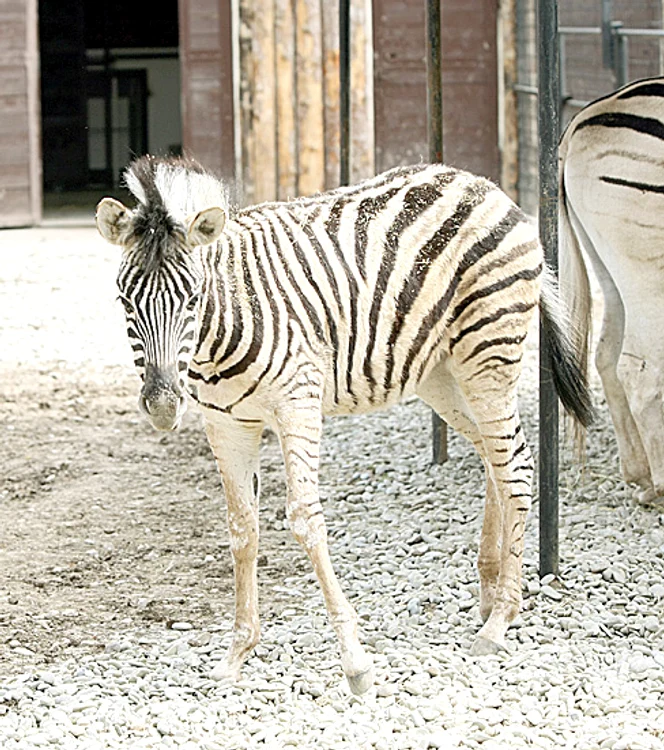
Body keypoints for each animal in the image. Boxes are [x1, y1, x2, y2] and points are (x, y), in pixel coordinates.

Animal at [94, 156, 592, 696]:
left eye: (192, 299)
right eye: (123, 300)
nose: (163, 406)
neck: (221, 328)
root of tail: (484, 186)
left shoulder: (297, 402)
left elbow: (306, 520)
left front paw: (354, 661)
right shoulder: (225, 423)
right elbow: (242, 528)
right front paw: (236, 654)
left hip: (489, 353)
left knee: (516, 467)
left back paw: (500, 621)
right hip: (441, 372)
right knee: (493, 458)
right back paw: (489, 592)